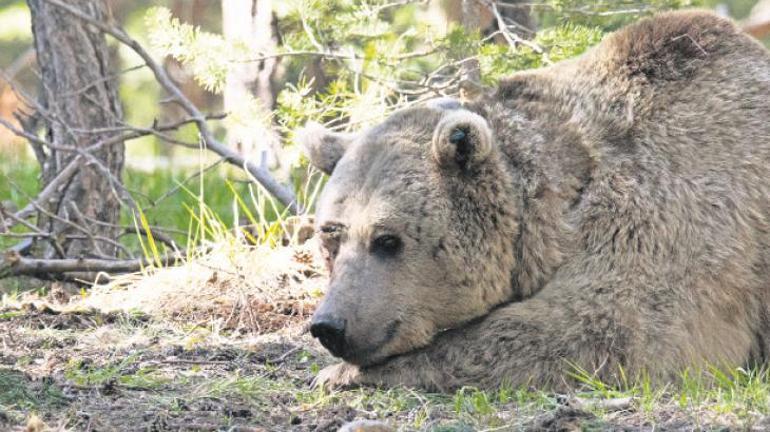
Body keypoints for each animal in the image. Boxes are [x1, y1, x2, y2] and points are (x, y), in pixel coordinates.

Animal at [296, 9, 768, 392]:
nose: (330, 325)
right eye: (330, 239)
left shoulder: (675, 210)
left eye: (387, 239)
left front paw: (342, 373)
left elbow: (613, 331)